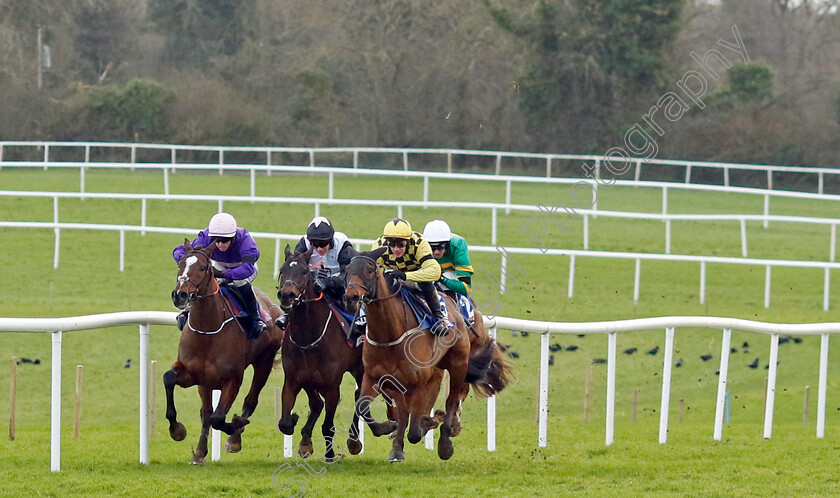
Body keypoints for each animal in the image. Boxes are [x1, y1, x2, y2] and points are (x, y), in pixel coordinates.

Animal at [166, 239, 284, 464]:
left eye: (203, 267)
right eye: (181, 264)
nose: (180, 295)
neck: (208, 331)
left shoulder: (232, 378)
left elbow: (219, 418)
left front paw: (235, 426)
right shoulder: (193, 375)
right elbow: (169, 379)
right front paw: (178, 431)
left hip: (264, 362)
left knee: (250, 400)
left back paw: (235, 438)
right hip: (205, 383)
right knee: (206, 412)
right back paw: (200, 452)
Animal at [278, 244, 364, 460]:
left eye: (304, 271)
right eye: (282, 270)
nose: (286, 295)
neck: (308, 338)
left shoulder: (332, 386)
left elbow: (328, 426)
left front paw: (330, 453)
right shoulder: (294, 379)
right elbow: (285, 423)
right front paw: (300, 432)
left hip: (361, 368)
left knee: (360, 397)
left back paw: (354, 440)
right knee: (318, 403)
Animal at [342, 249, 512, 462]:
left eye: (370, 270)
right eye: (347, 269)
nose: (351, 297)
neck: (390, 334)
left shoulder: (418, 383)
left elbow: (415, 429)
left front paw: (429, 423)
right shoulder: (375, 377)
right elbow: (363, 406)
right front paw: (381, 431)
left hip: (458, 363)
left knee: (452, 399)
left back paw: (445, 439)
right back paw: (399, 444)